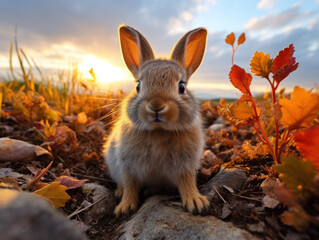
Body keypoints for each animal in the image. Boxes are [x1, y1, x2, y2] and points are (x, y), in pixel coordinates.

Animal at [105, 24, 210, 218]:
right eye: (138, 86)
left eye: (181, 86)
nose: (156, 105)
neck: (158, 130)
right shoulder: (128, 166)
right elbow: (130, 185)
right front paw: (125, 207)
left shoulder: (185, 166)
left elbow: (187, 182)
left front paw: (196, 203)